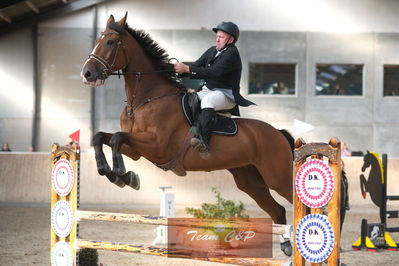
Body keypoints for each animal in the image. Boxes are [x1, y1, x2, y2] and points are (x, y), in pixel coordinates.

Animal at [81, 13, 294, 256]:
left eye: (110, 42)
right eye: (98, 40)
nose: (87, 73)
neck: (145, 99)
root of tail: (278, 133)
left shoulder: (157, 146)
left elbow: (116, 137)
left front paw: (122, 175)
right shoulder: (136, 149)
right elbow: (101, 137)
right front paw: (111, 172)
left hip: (278, 178)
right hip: (250, 181)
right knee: (277, 211)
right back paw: (286, 245)